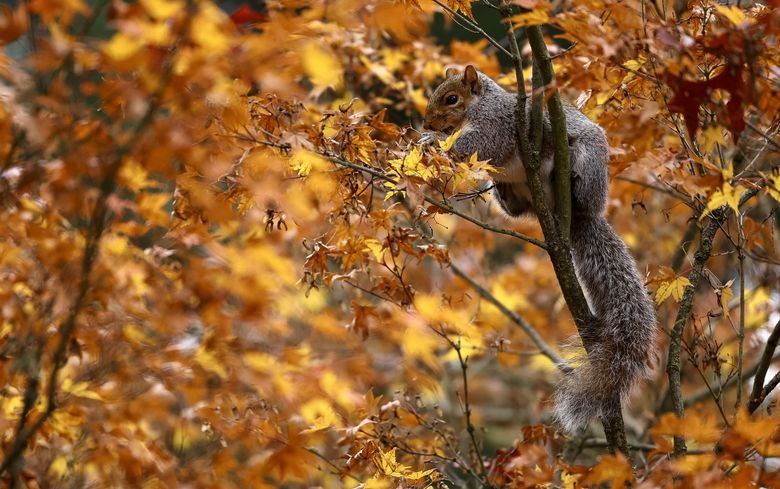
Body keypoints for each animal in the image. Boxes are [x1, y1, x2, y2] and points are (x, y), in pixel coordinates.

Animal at [423, 65, 656, 433]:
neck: (480, 104)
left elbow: (480, 143)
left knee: (584, 189)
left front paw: (432, 144)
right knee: (513, 205)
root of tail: (572, 216)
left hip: (589, 164)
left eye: (451, 98)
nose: (427, 125)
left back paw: (574, 184)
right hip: (510, 189)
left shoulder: (498, 122)